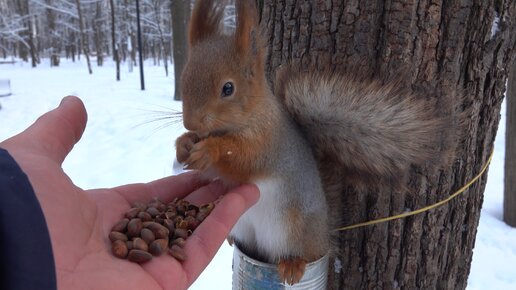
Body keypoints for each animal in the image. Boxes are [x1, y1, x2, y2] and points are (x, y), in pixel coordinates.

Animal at [175, 0, 454, 286]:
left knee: (305, 252)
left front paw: (211, 149)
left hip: (294, 229)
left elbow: (243, 157)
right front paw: (183, 144)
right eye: (184, 78)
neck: (250, 116)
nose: (190, 123)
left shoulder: (269, 144)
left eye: (228, 88)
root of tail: (324, 234)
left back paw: (293, 264)